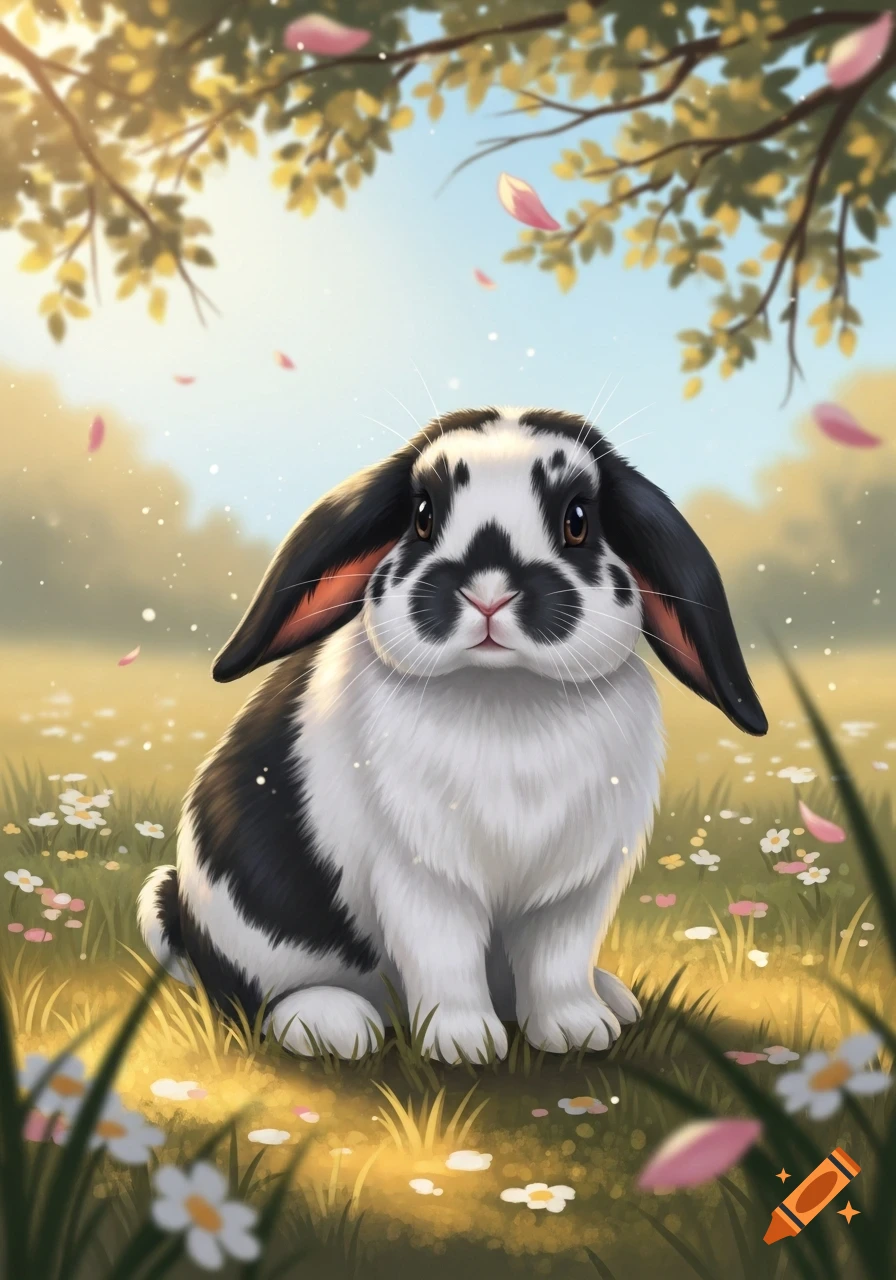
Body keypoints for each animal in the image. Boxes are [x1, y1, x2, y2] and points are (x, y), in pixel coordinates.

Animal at [137, 406, 767, 1063]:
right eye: (421, 516)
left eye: (577, 520)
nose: (488, 592)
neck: (505, 699)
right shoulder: (423, 877)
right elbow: (444, 956)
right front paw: (465, 1044)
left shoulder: (576, 886)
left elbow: (558, 960)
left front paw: (576, 1031)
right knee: (252, 1000)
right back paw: (334, 1023)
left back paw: (611, 999)